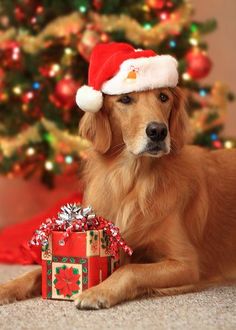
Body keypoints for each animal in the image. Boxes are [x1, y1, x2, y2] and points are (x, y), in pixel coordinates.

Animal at [0, 86, 236, 308]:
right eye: (125, 99)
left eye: (163, 97)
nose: (158, 131)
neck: (133, 179)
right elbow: (34, 272)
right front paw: (7, 287)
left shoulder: (186, 263)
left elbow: (131, 270)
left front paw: (98, 292)